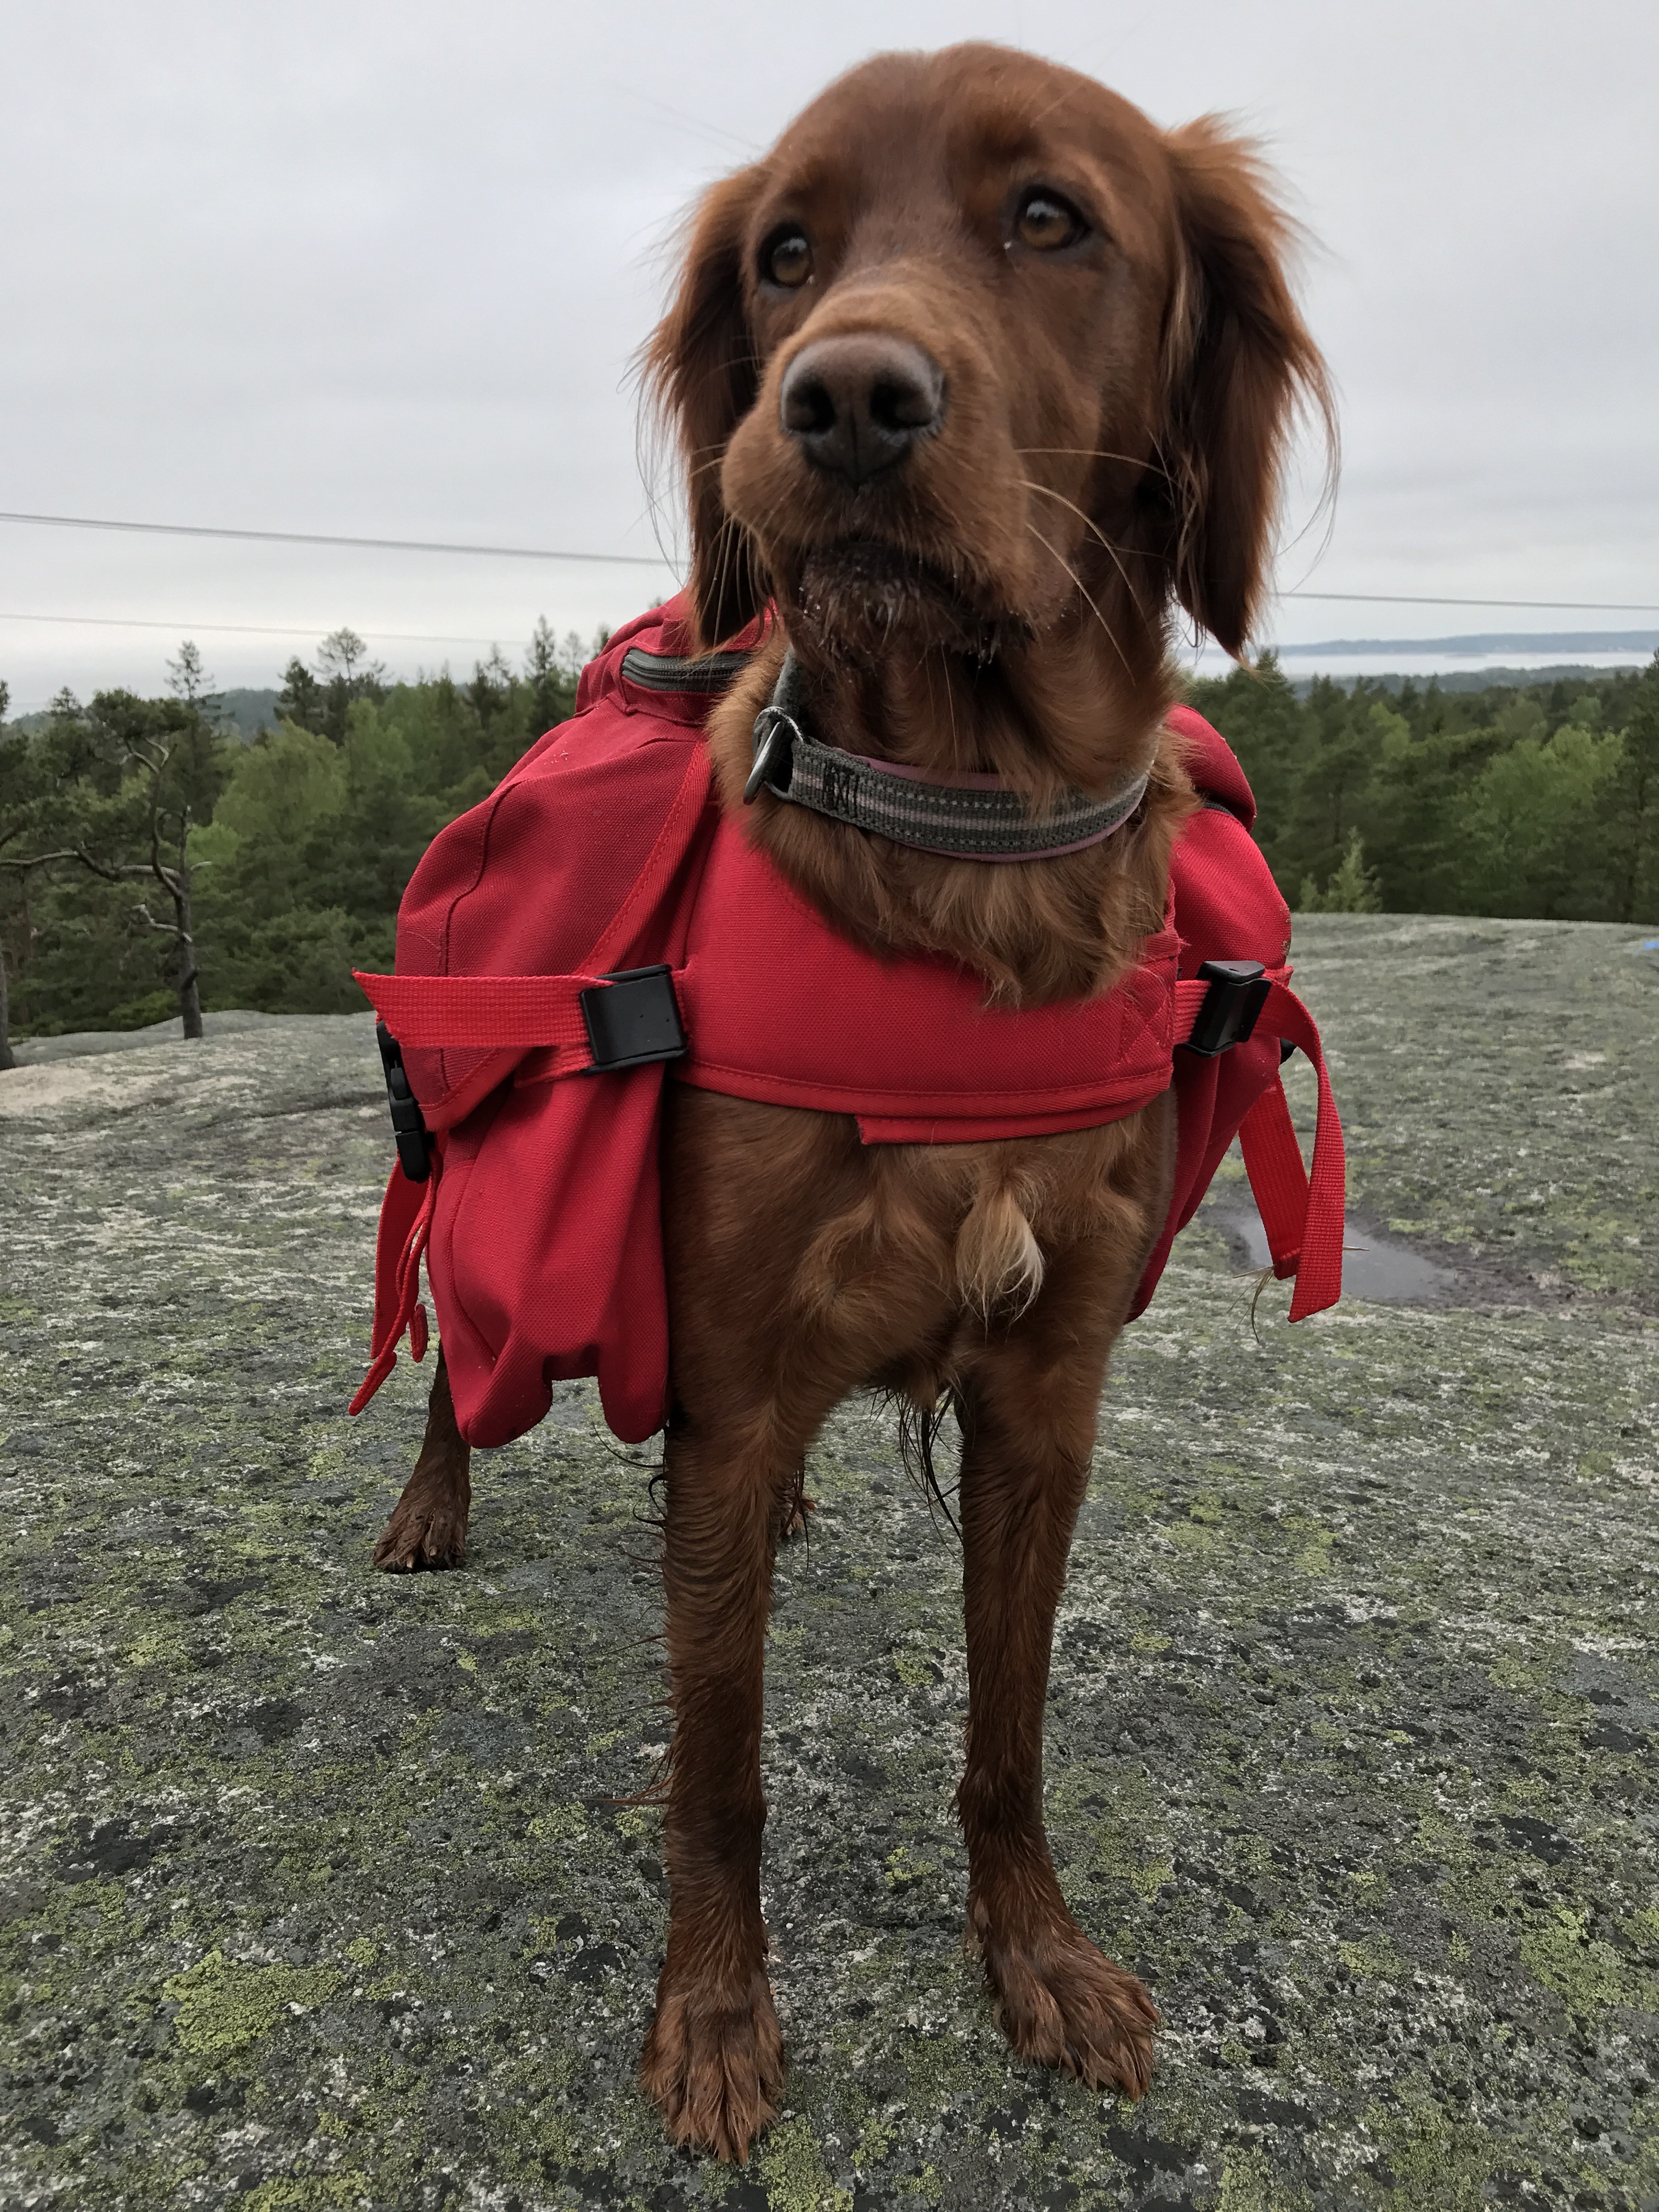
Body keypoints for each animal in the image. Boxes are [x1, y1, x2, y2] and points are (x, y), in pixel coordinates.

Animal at [371, 41, 1329, 2161]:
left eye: (1050, 218)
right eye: (786, 255)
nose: (843, 402)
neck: (963, 841)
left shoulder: (1046, 1392)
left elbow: (1008, 1735)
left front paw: (1038, 1960)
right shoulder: (720, 1396)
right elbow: (717, 1771)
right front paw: (716, 2021)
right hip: (455, 1161)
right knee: (447, 1343)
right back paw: (427, 1503)